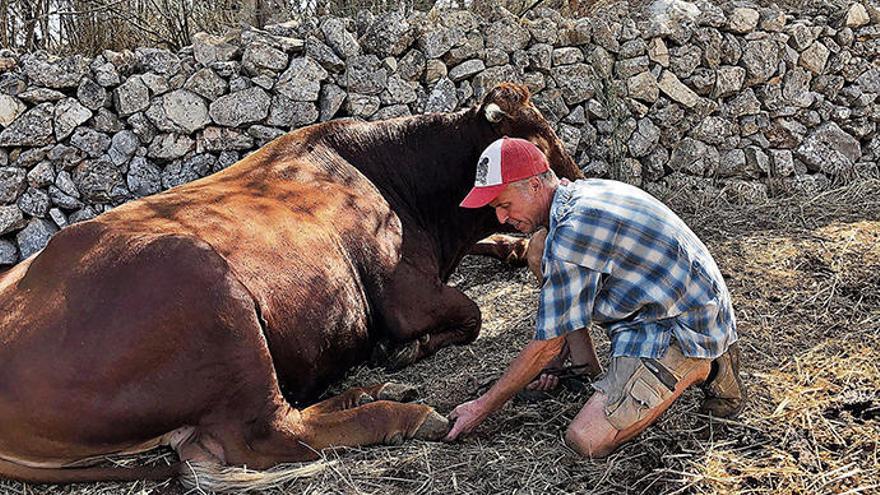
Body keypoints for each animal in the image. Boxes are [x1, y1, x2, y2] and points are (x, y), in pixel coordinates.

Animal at [0, 83, 584, 486]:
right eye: (537, 139)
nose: (575, 183)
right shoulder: (405, 296)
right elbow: (470, 314)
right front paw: (405, 350)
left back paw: (375, 391)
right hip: (218, 302)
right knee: (269, 433)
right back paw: (407, 412)